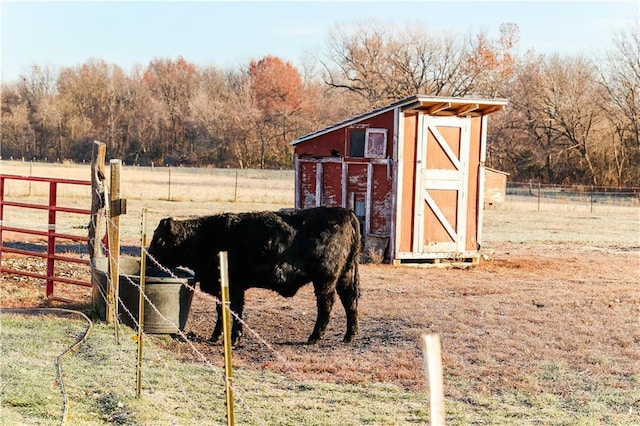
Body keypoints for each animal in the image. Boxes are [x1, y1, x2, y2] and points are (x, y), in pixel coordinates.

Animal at [147, 207, 362, 346]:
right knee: (350, 302)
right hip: (345, 276)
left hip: (325, 279)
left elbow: (233, 311)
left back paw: (315, 337)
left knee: (326, 305)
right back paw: (349, 336)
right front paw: (217, 335)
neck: (206, 237)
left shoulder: (233, 287)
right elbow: (222, 311)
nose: (148, 258)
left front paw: (233, 338)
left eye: (158, 239)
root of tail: (344, 212)